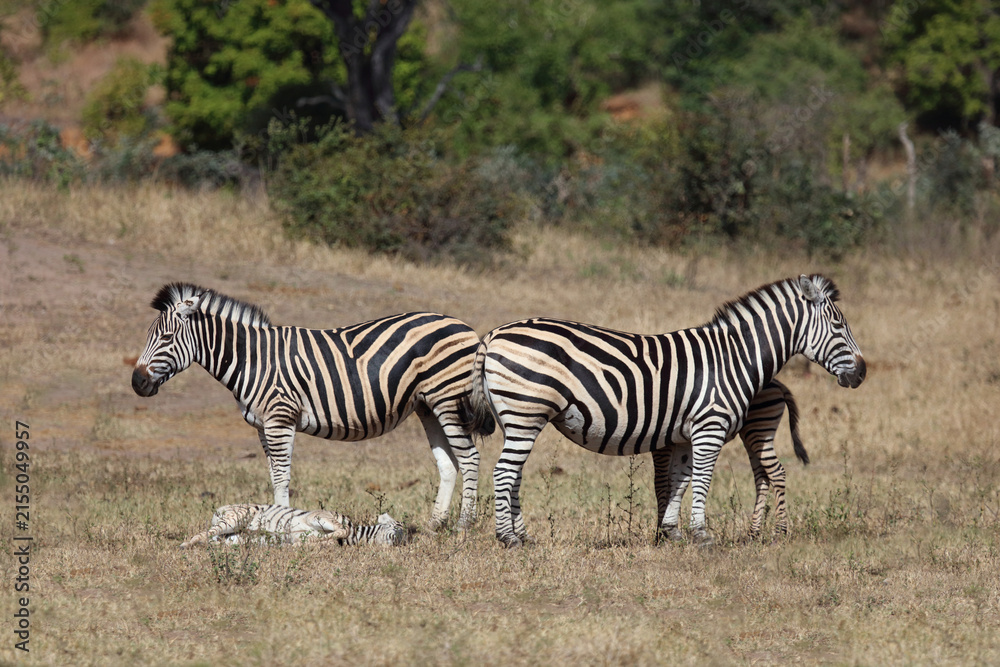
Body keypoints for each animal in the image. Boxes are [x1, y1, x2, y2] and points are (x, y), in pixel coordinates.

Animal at [132, 283, 491, 529]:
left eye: (166, 339)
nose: (137, 383)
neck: (253, 359)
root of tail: (466, 328)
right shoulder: (263, 425)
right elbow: (273, 474)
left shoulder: (279, 419)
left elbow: (281, 477)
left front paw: (278, 525)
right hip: (428, 406)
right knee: (448, 463)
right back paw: (434, 525)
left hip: (449, 399)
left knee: (470, 458)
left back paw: (463, 526)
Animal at [465, 274, 864, 547]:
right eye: (838, 325)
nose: (861, 372)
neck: (734, 358)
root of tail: (494, 334)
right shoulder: (709, 426)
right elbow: (701, 480)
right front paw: (701, 534)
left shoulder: (684, 434)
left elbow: (679, 480)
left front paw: (672, 532)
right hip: (525, 414)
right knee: (504, 472)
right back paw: (508, 538)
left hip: (517, 419)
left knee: (514, 474)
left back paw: (524, 536)